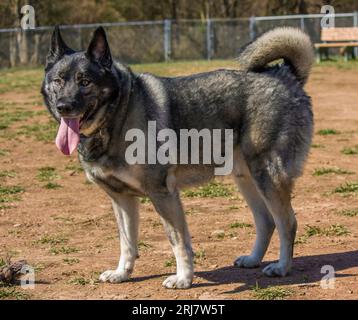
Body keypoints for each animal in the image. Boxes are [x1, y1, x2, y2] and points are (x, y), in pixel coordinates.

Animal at [41, 26, 314, 288]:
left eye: (85, 81)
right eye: (58, 81)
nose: (64, 106)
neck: (118, 114)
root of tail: (284, 75)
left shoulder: (163, 194)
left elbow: (178, 241)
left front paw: (183, 279)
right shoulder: (121, 199)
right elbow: (127, 243)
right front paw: (122, 273)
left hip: (267, 177)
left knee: (287, 222)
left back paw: (281, 267)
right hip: (246, 180)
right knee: (266, 221)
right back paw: (253, 259)